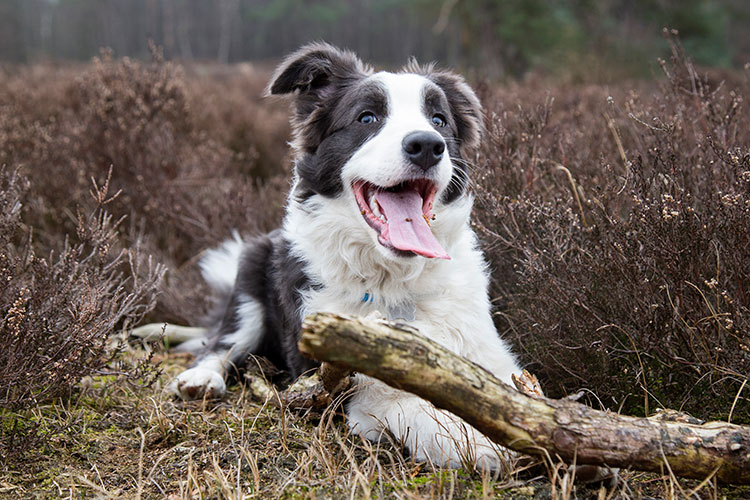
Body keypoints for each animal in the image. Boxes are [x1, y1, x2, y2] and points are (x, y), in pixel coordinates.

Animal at [149, 43, 524, 468]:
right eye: (367, 117)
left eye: (439, 119)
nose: (427, 145)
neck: (395, 279)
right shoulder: (356, 385)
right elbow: (419, 409)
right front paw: (479, 441)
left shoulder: (488, 353)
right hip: (249, 274)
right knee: (222, 342)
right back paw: (202, 379)